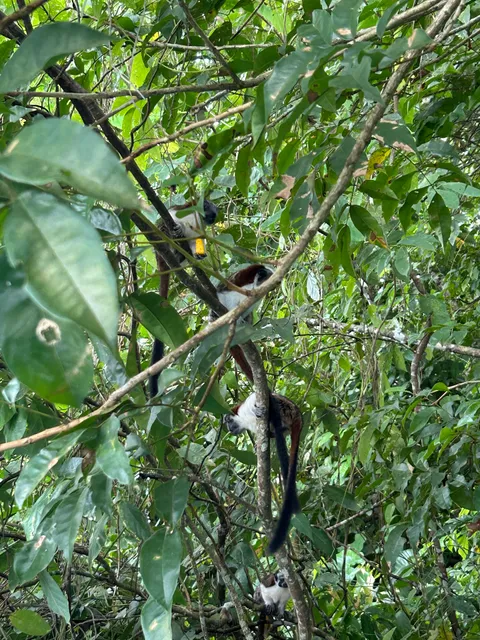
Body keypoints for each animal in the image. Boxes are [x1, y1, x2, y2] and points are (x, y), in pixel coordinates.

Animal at [149, 199, 218, 398]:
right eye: (211, 213)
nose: (212, 219)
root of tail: (161, 260)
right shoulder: (185, 210)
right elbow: (171, 213)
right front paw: (178, 227)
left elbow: (197, 242)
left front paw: (198, 254)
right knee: (162, 228)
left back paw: (180, 256)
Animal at [224, 392, 303, 553]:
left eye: (228, 423)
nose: (229, 430)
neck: (244, 421)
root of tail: (298, 413)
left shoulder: (244, 407)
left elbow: (260, 396)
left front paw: (258, 409)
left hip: (286, 409)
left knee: (274, 403)